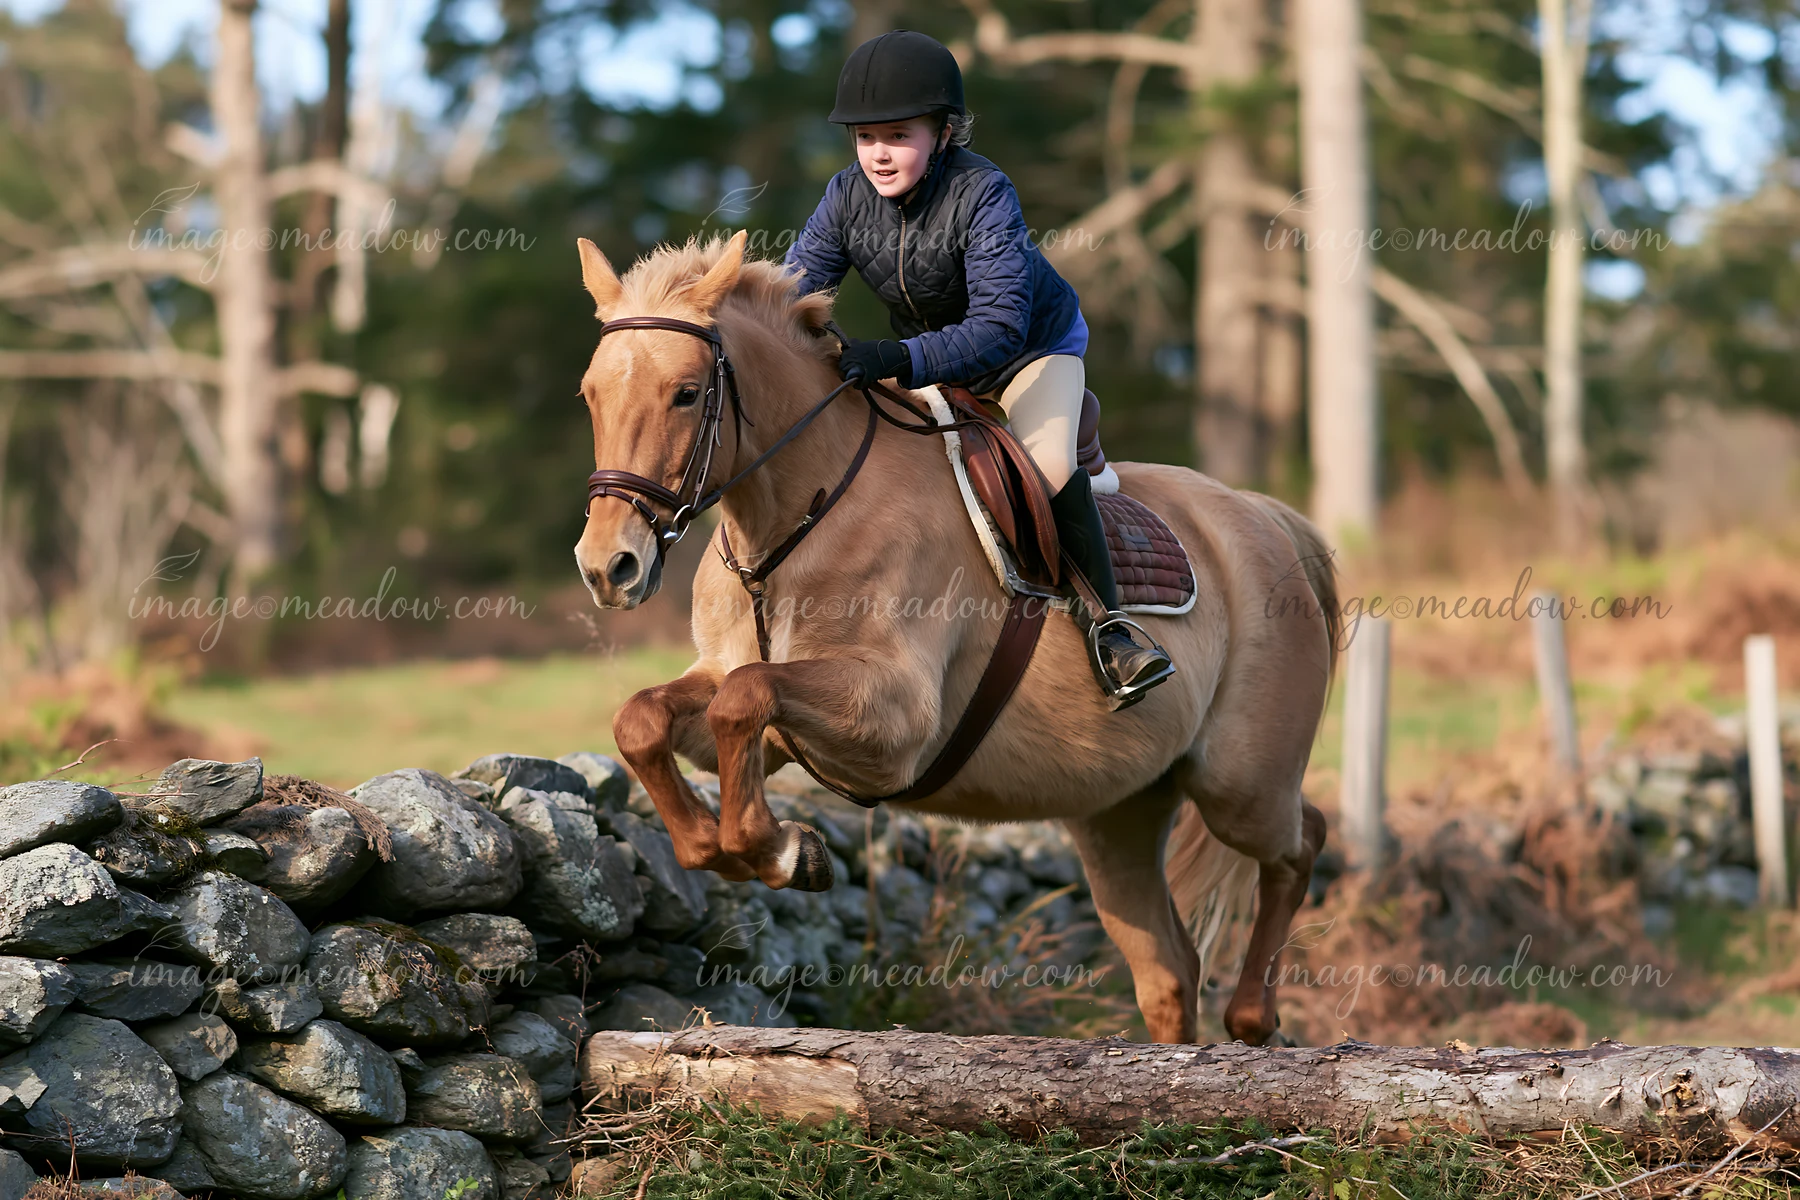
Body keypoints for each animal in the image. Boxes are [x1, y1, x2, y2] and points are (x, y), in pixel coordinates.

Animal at [573, 230, 1340, 1046]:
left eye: (687, 393)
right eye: (590, 394)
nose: (609, 568)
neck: (798, 517)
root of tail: (1263, 515)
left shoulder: (894, 726)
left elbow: (744, 700)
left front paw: (783, 853)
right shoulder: (741, 695)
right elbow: (650, 718)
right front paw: (735, 847)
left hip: (1238, 784)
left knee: (1301, 840)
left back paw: (1254, 1016)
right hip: (1119, 811)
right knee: (1169, 969)